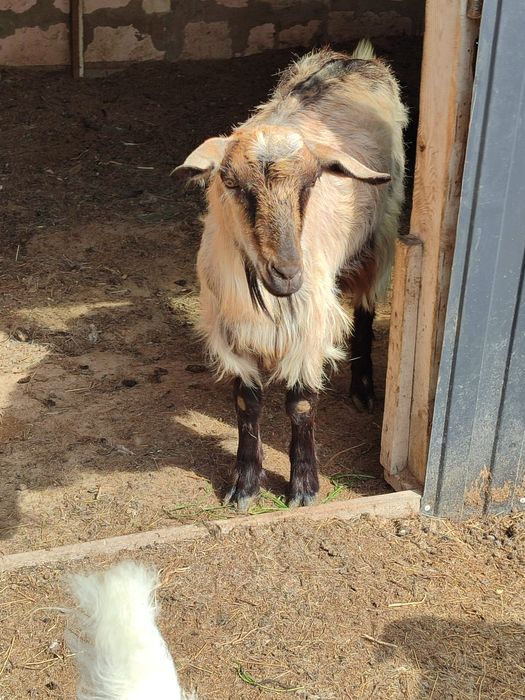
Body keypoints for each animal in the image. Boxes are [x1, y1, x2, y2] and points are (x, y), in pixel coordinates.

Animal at [174, 40, 408, 510]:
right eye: (230, 182)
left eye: (311, 182)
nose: (286, 273)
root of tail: (354, 56)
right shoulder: (231, 327)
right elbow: (246, 403)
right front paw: (244, 485)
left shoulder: (310, 325)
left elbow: (300, 405)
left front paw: (303, 487)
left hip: (381, 234)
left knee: (366, 308)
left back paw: (363, 388)